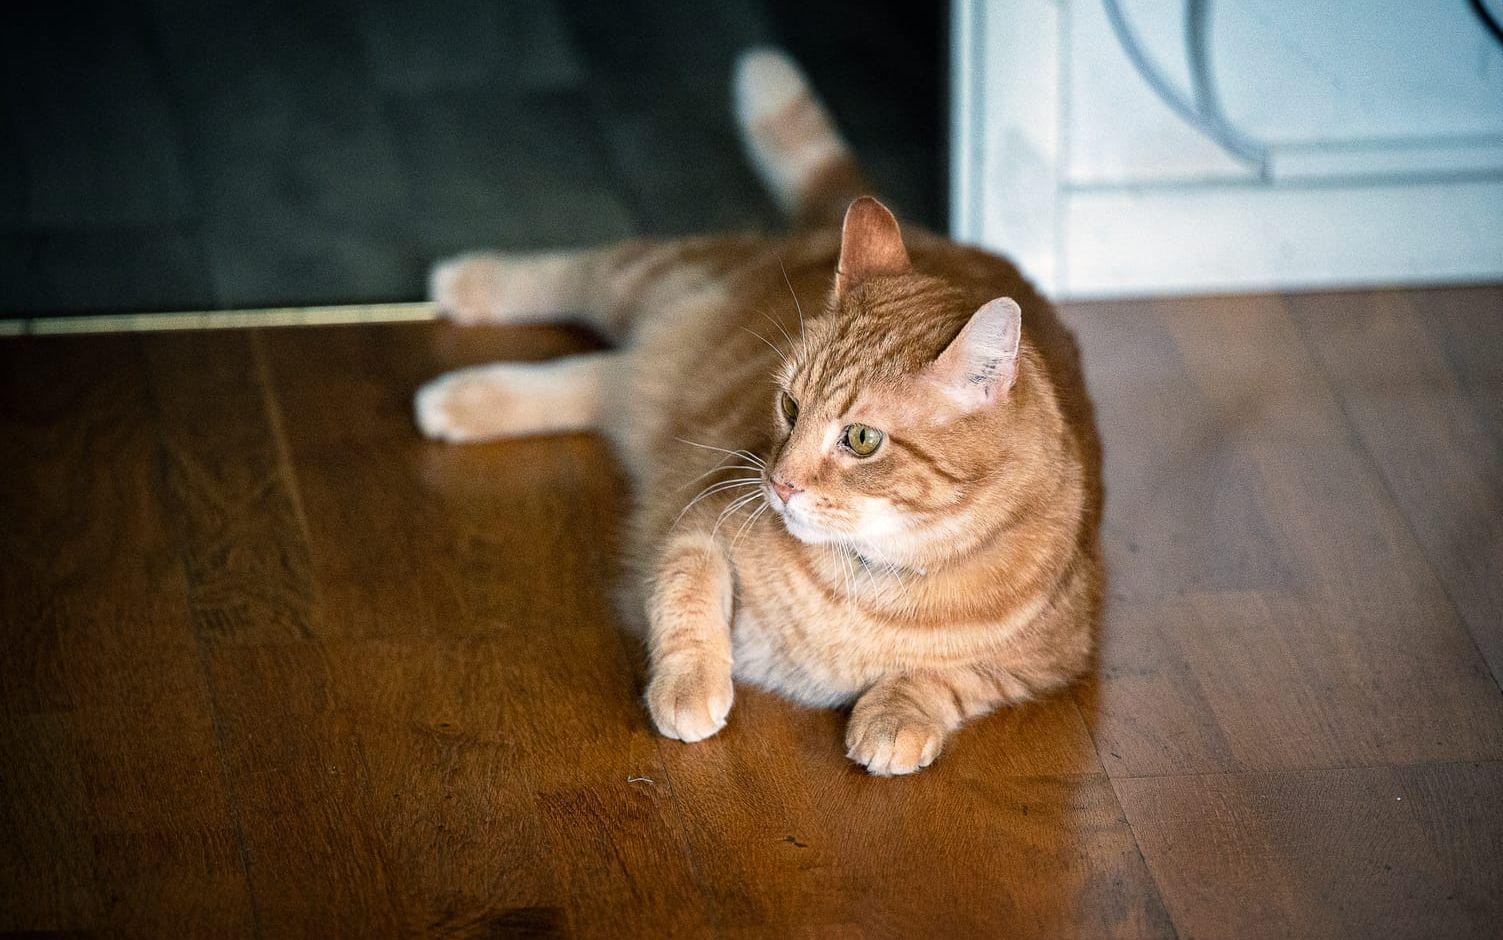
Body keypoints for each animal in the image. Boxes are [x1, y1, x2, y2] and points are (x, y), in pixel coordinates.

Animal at [417, 47, 1100, 776]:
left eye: (861, 439)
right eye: (789, 406)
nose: (778, 483)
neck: (866, 581)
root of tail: (932, 231)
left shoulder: (1053, 661)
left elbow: (952, 679)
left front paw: (896, 715)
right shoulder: (699, 524)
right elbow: (687, 603)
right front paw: (689, 688)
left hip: (643, 366)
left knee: (594, 378)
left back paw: (457, 400)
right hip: (652, 279)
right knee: (576, 274)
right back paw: (466, 287)